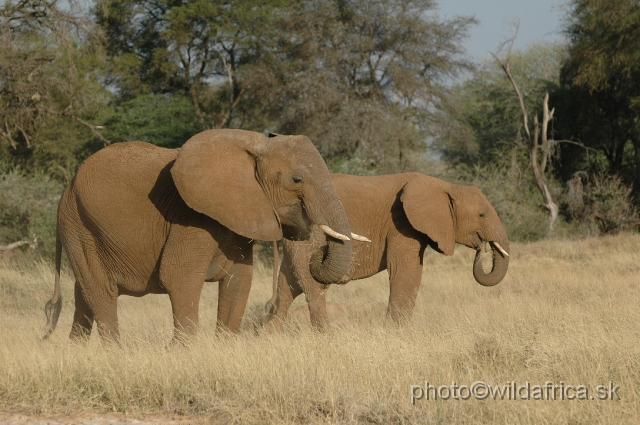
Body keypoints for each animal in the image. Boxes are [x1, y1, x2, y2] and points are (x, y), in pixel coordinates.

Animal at [43, 129, 356, 342]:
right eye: (296, 180)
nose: (318, 252)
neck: (254, 145)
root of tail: (65, 190)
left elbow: (239, 280)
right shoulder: (190, 216)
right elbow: (179, 276)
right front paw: (183, 351)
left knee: (83, 294)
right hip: (79, 226)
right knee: (101, 290)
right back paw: (116, 353)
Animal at [264, 171, 510, 330]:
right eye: (481, 215)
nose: (482, 248)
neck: (444, 186)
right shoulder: (401, 222)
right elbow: (406, 271)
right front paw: (397, 332)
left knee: (288, 286)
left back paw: (269, 334)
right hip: (304, 234)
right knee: (311, 286)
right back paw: (325, 335)